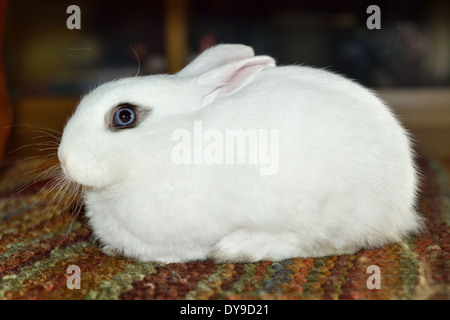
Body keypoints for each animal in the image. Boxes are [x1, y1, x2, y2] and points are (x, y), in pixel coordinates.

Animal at [57, 43, 422, 264]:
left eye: (124, 116)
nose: (64, 158)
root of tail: (403, 208)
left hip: (332, 211)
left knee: (329, 243)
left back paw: (239, 247)